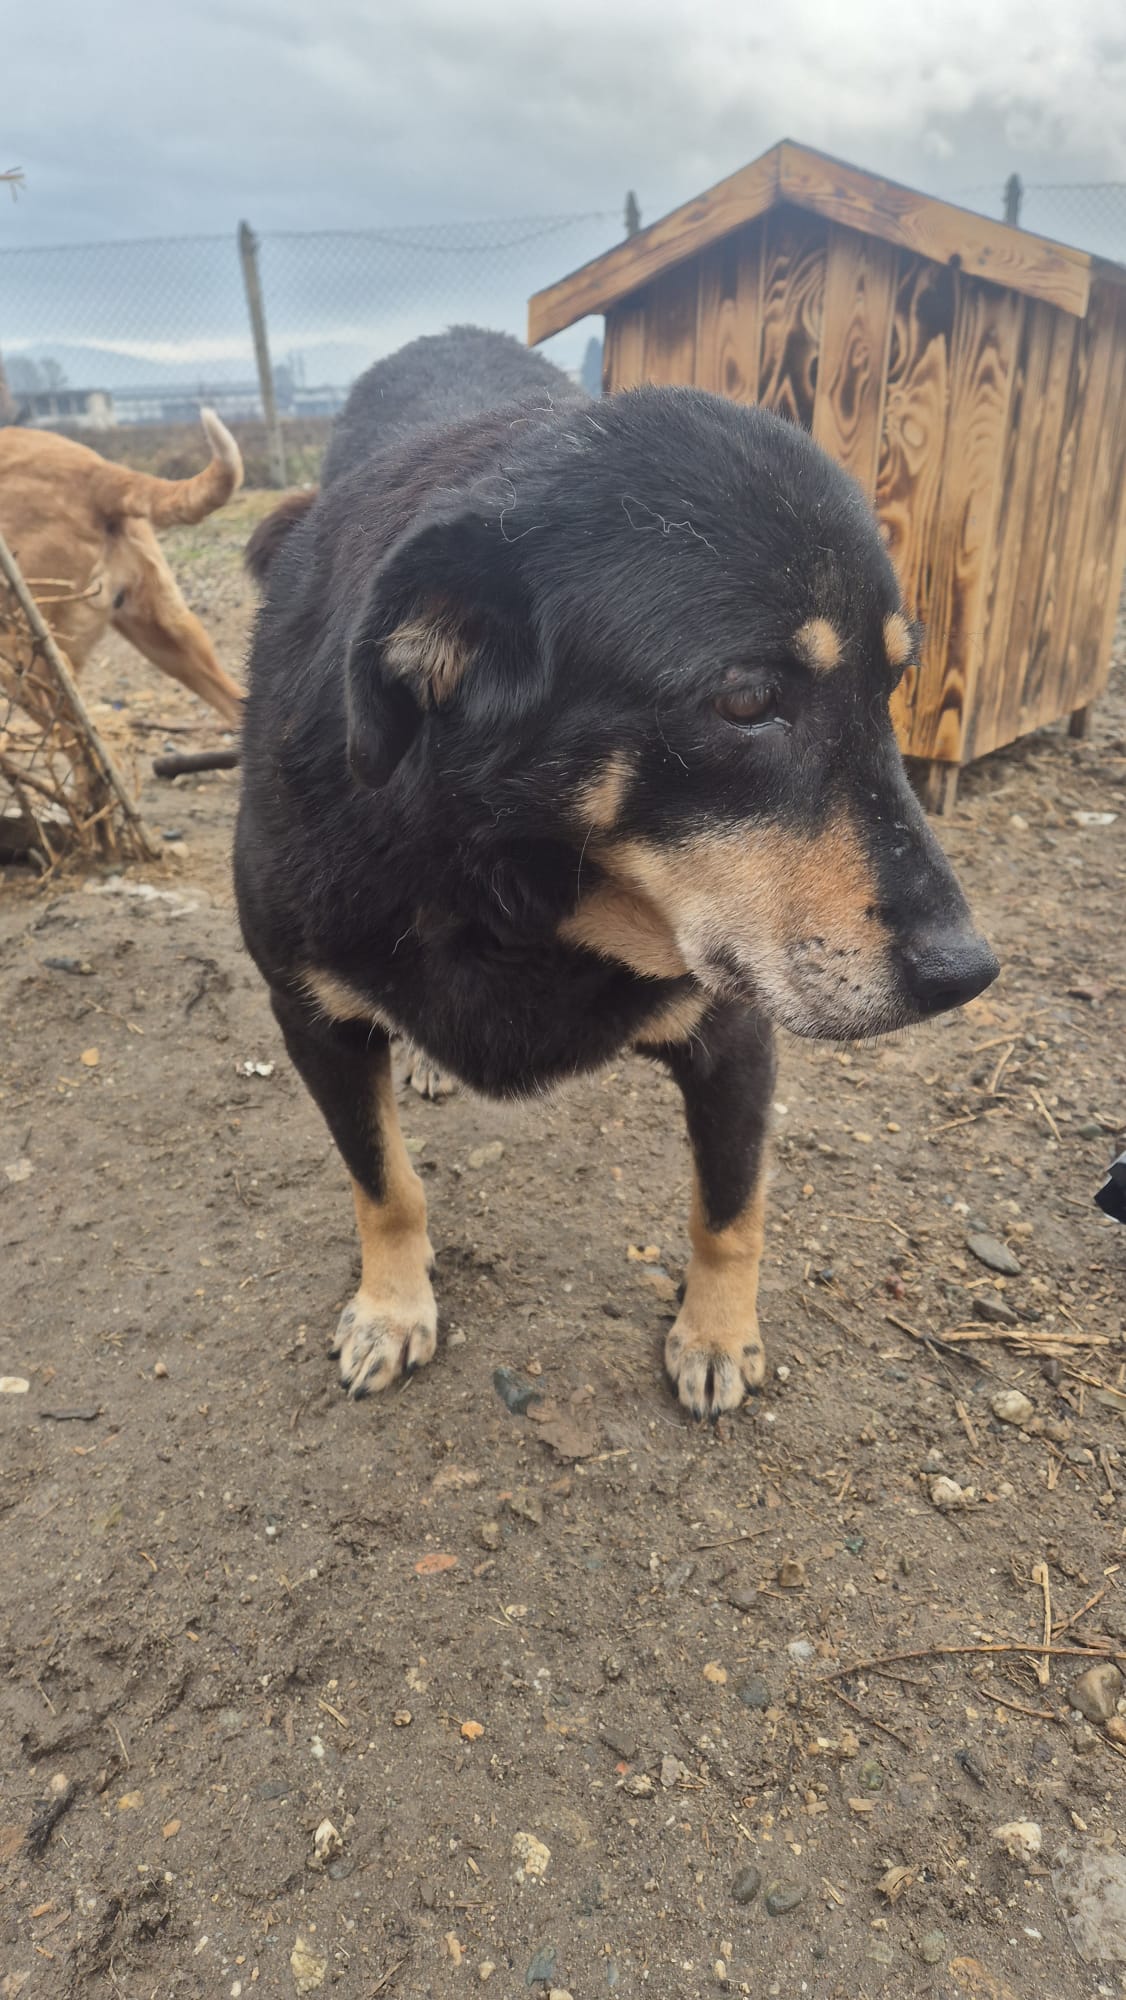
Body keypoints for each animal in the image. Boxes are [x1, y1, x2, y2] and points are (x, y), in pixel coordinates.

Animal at [235, 326, 998, 1420]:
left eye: (892, 686)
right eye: (746, 701)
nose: (968, 971)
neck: (517, 892)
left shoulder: (735, 1033)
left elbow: (728, 1207)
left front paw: (715, 1332)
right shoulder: (313, 1016)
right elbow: (383, 1185)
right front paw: (391, 1306)